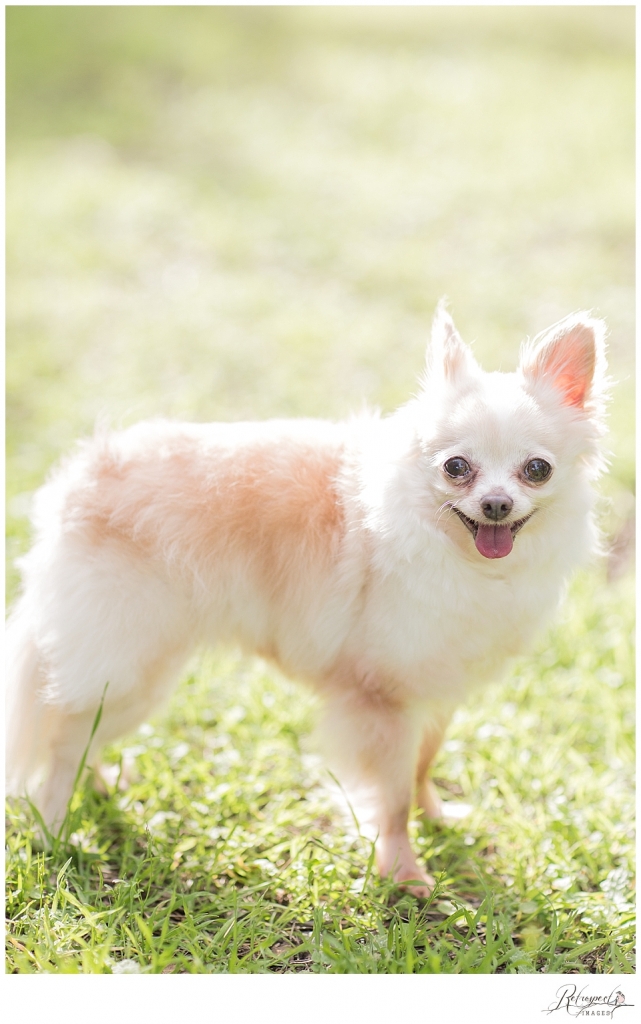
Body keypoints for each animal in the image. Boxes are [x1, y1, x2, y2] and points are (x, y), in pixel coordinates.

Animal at [4, 305, 602, 897]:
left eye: (537, 470)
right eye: (456, 467)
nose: (496, 503)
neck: (464, 561)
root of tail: (80, 477)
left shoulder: (436, 688)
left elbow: (422, 765)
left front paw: (435, 817)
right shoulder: (381, 700)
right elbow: (392, 796)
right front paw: (404, 871)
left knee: (79, 732)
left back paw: (99, 788)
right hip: (131, 665)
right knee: (63, 739)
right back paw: (57, 830)